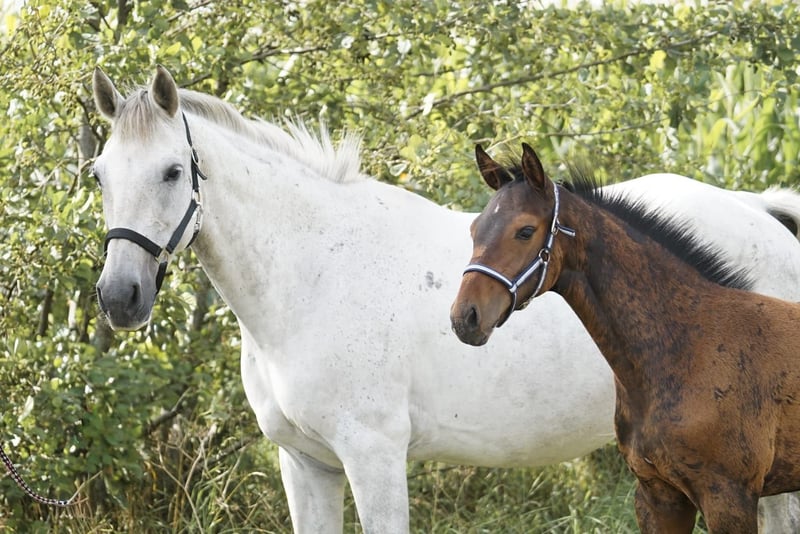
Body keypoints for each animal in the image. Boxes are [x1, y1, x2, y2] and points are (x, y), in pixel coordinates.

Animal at [450, 143, 800, 533]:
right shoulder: (657, 495)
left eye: (525, 231)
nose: (465, 317)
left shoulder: (728, 497)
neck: (691, 344)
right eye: (474, 229)